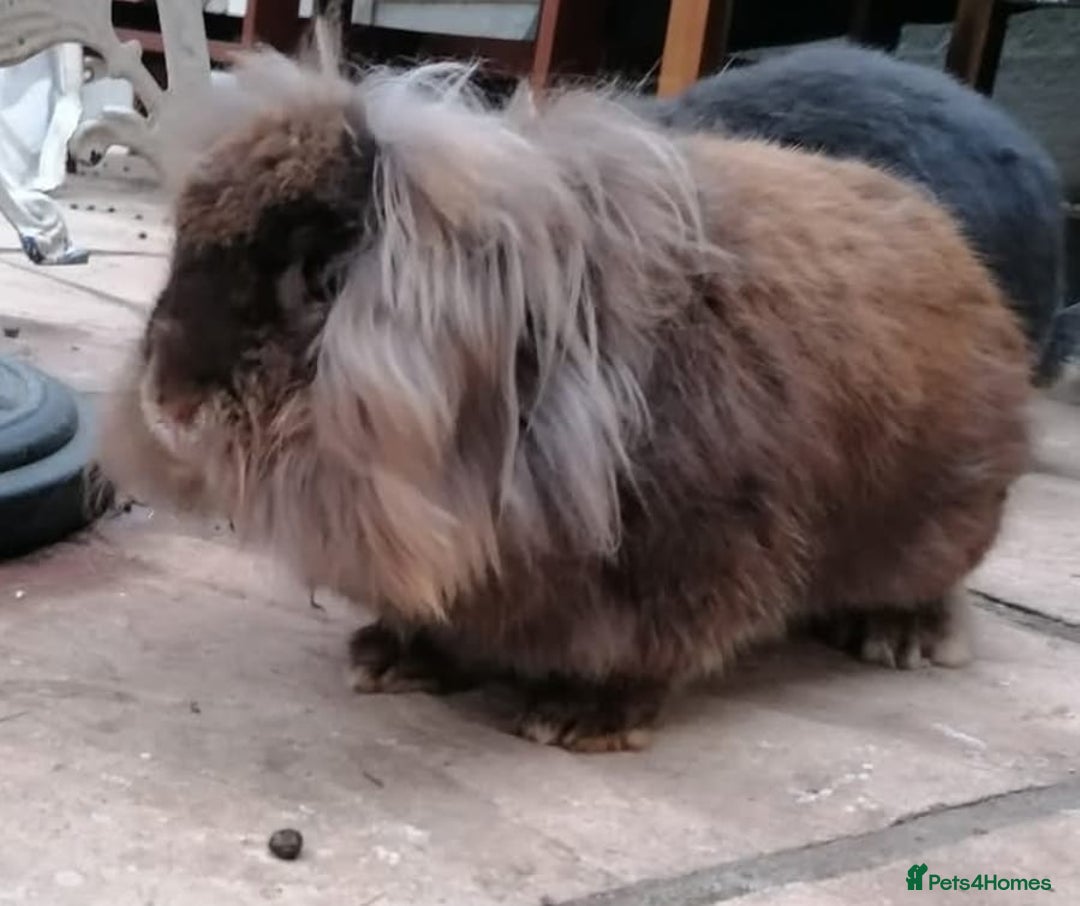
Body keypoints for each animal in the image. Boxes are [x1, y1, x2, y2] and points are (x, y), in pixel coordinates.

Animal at [99, 43, 1031, 753]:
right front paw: (390, 659)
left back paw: (899, 639)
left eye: (323, 278)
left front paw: (578, 720)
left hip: (933, 527)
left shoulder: (691, 560)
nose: (167, 402)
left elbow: (646, 654)